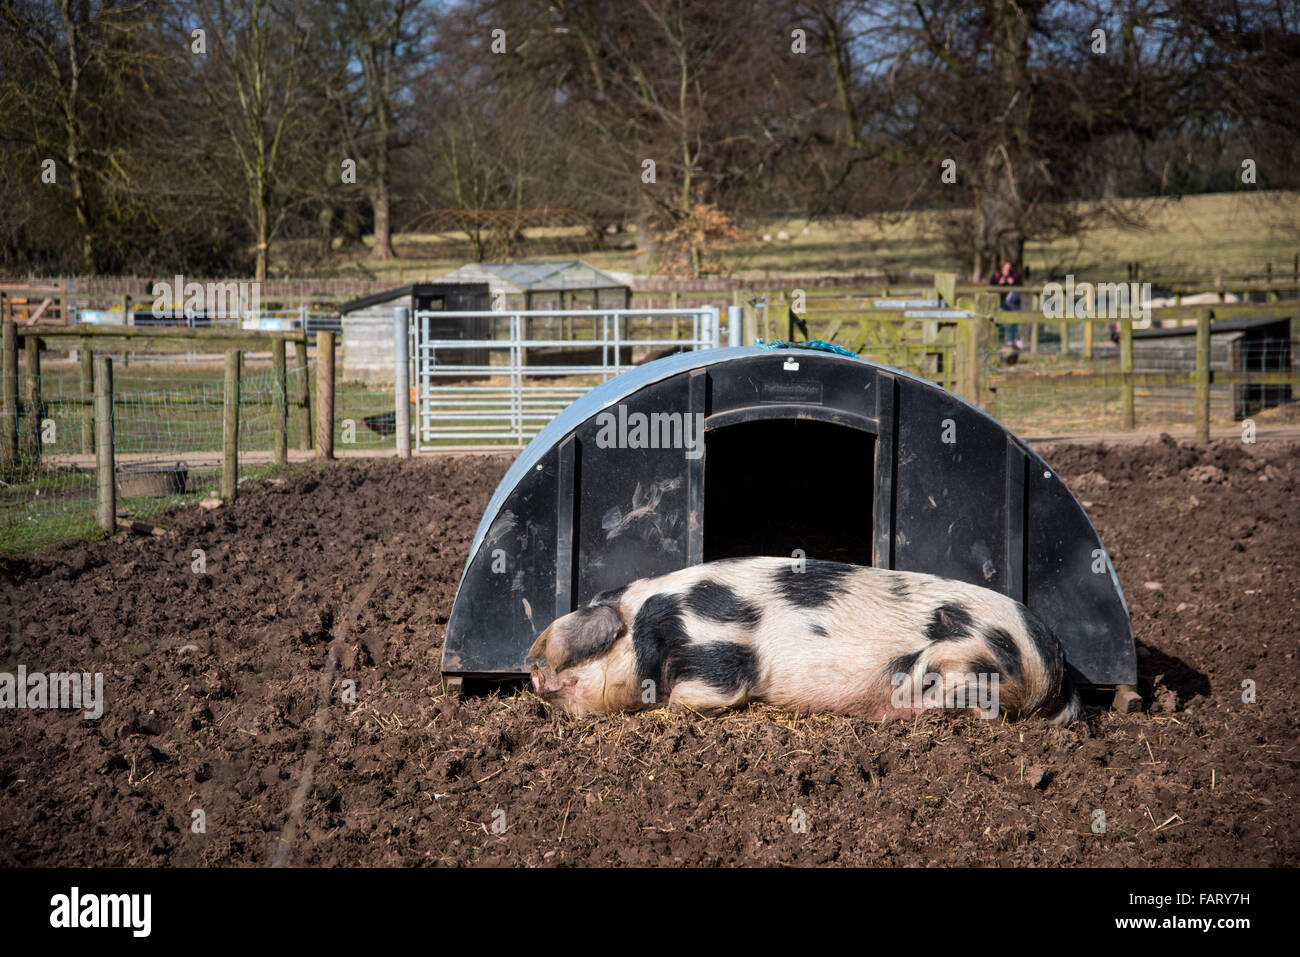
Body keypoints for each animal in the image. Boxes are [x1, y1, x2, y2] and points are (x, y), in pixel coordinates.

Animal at [522, 556, 1081, 722]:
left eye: (584, 651)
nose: (532, 670)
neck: (647, 628)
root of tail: (1051, 657)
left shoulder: (717, 649)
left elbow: (700, 694)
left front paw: (671, 708)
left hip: (964, 657)